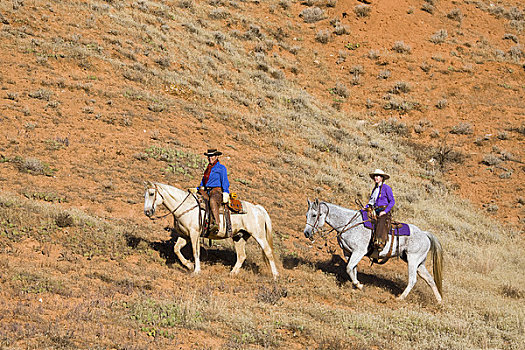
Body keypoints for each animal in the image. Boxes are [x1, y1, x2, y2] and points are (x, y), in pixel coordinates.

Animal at [141, 182, 276, 278]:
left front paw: (196, 271)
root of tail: (257, 208)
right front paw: (189, 265)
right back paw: (232, 273)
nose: (147, 212)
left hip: (259, 235)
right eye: (144, 195)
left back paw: (275, 276)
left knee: (268, 252)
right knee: (242, 256)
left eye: (152, 194)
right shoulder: (184, 235)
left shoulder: (194, 234)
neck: (185, 206)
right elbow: (176, 249)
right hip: (240, 237)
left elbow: (195, 252)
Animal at [302, 198, 442, 302]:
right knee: (430, 280)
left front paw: (359, 285)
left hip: (413, 260)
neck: (349, 224)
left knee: (413, 280)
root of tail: (425, 234)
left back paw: (400, 298)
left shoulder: (359, 252)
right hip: (419, 263)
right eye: (306, 215)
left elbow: (349, 268)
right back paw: (439, 301)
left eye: (314, 215)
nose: (306, 233)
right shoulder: (348, 253)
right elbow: (353, 269)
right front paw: (355, 286)